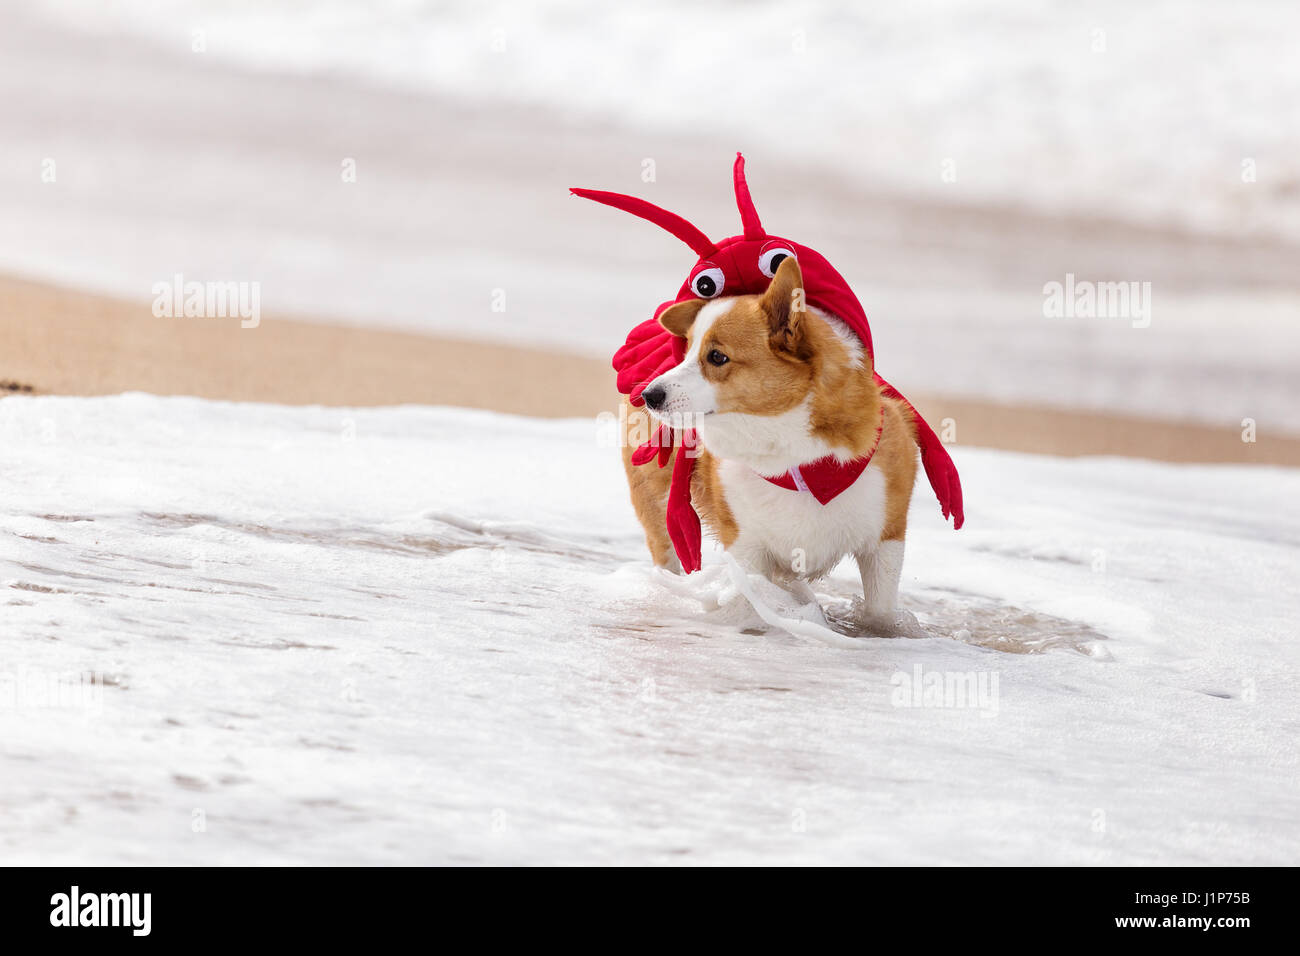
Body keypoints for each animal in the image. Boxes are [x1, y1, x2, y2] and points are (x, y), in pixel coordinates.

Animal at [618, 257, 915, 624]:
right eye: (686, 353)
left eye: (717, 357)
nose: (648, 395)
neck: (796, 462)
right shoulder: (747, 549)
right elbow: (748, 599)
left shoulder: (886, 543)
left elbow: (880, 614)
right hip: (656, 504)